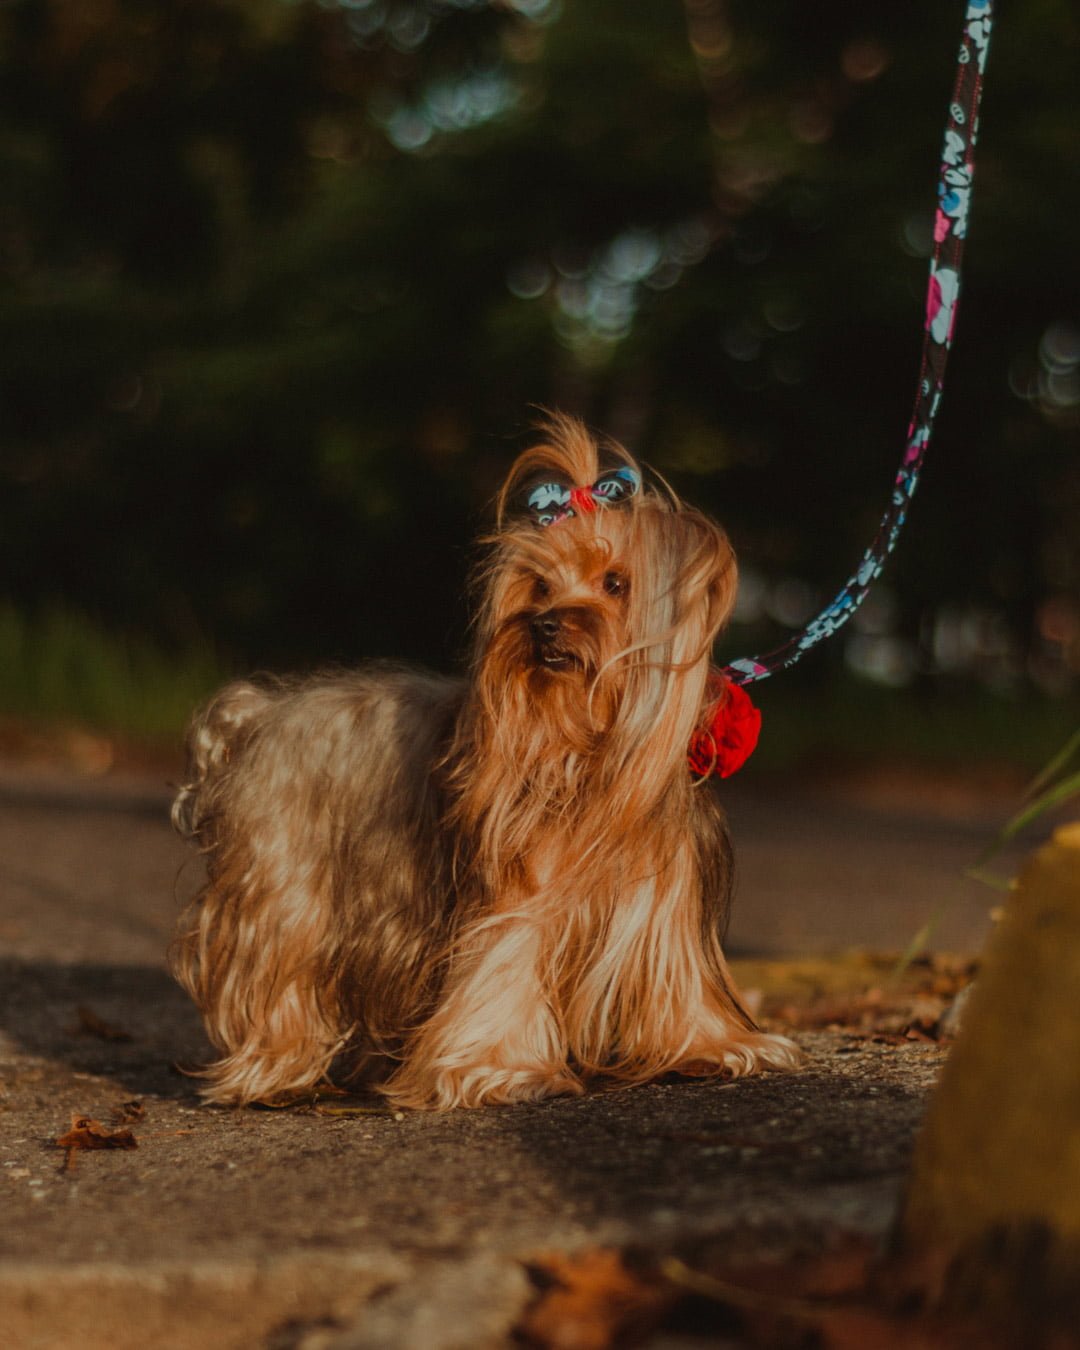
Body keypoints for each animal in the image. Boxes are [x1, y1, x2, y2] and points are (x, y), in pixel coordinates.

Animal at [166, 413, 793, 1107]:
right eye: (540, 585)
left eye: (616, 583)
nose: (544, 624)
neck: (584, 752)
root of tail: (258, 714)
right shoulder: (518, 890)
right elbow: (506, 959)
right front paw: (500, 1069)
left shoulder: (663, 899)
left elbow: (673, 978)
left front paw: (713, 1047)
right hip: (286, 890)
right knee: (280, 976)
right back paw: (269, 1073)